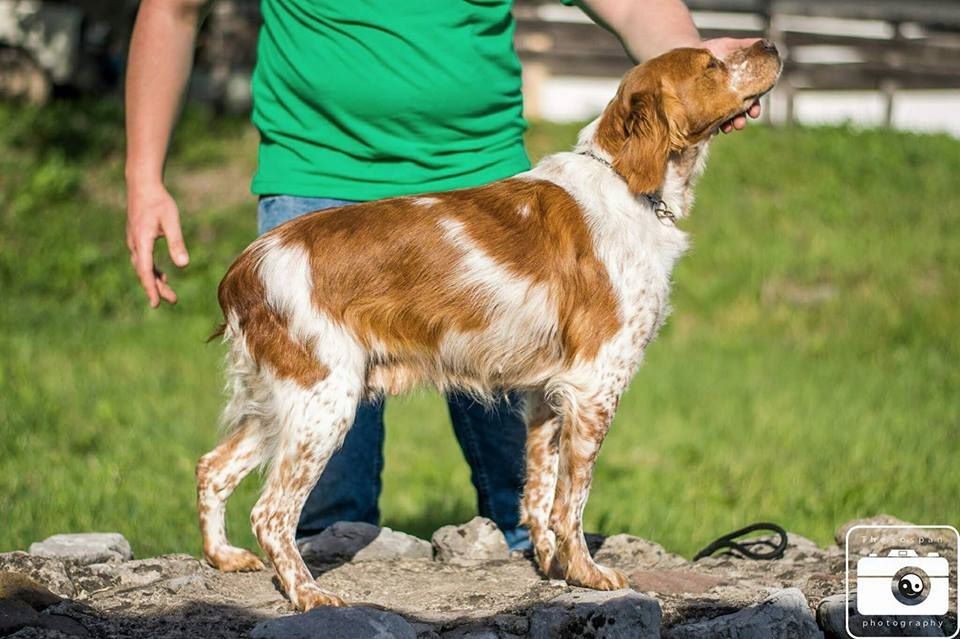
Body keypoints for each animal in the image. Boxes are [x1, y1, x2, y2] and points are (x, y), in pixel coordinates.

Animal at [193, 38, 780, 608]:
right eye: (711, 64)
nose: (771, 46)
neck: (625, 184)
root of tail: (244, 269)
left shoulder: (546, 394)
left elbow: (539, 494)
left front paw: (552, 568)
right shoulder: (596, 384)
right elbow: (573, 500)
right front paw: (589, 574)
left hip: (283, 403)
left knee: (211, 468)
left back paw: (224, 558)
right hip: (324, 404)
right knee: (271, 512)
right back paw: (309, 594)